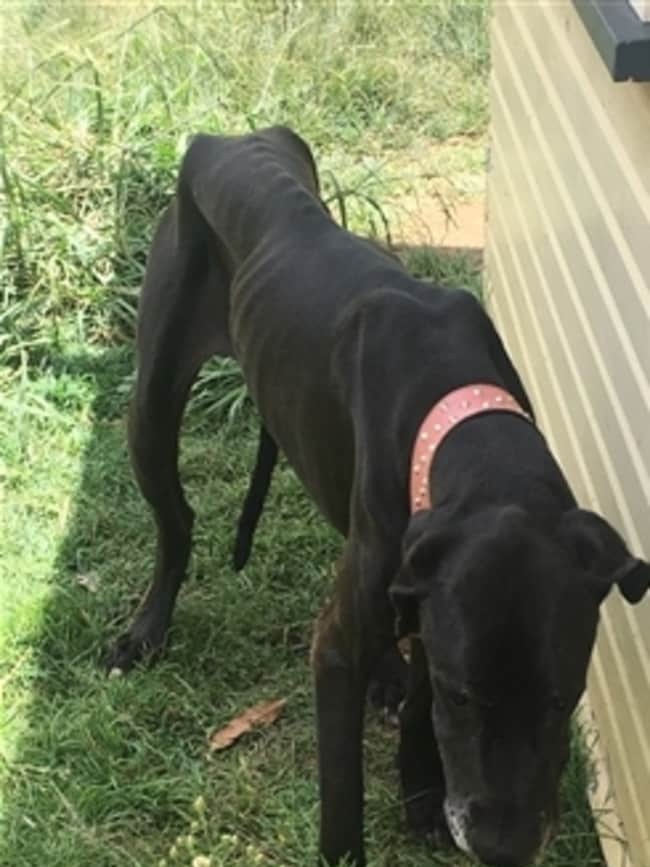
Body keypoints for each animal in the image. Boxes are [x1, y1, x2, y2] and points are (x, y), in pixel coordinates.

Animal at [107, 127, 648, 867]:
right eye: (462, 696)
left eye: (562, 699)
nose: (503, 848)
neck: (462, 416)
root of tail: (233, 138)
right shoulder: (337, 651)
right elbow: (343, 792)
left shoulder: (427, 590)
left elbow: (418, 692)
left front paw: (419, 787)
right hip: (152, 404)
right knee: (177, 522)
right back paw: (147, 629)